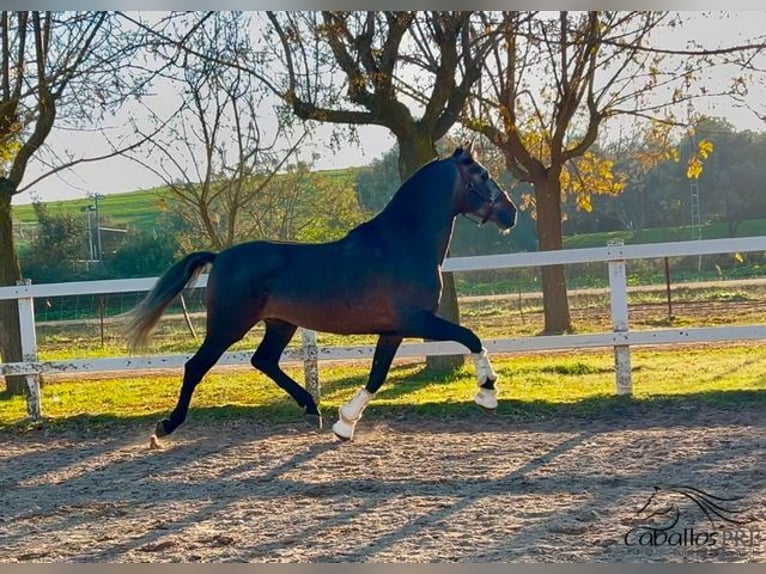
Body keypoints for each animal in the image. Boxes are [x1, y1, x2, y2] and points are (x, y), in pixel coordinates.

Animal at [129, 142, 520, 444]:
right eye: (482, 174)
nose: (511, 213)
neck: (402, 243)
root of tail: (220, 256)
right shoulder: (417, 321)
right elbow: (470, 337)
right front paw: (488, 392)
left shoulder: (394, 330)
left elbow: (377, 375)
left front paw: (344, 424)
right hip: (228, 326)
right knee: (196, 366)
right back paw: (165, 428)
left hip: (280, 323)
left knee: (263, 360)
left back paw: (311, 407)